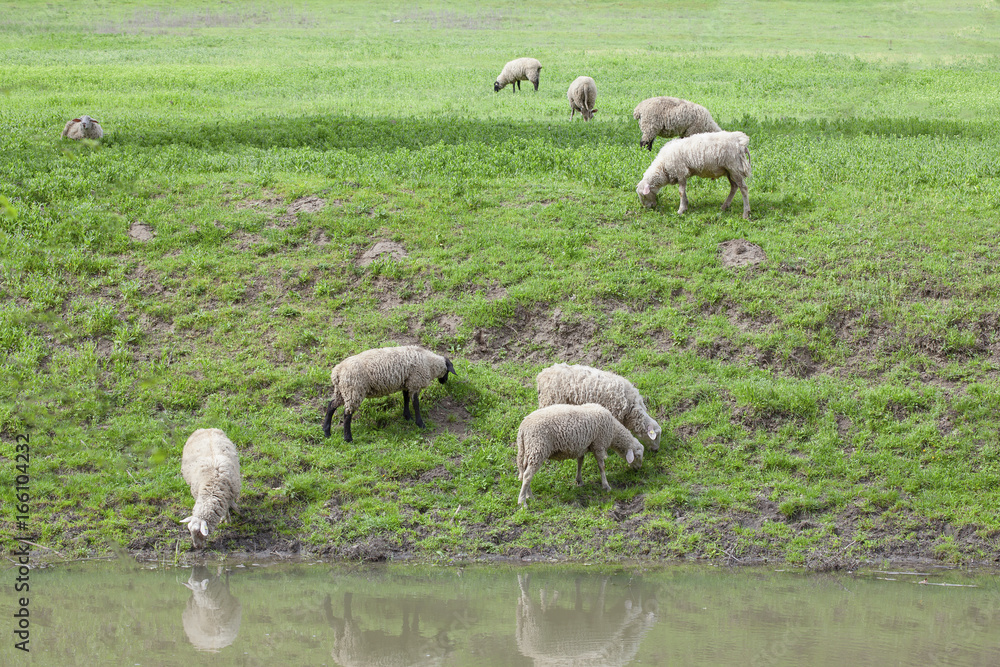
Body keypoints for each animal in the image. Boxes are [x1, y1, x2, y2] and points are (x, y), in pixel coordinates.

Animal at [322, 345, 458, 443]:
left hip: (342, 391)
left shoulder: (406, 383)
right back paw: (348, 438)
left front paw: (407, 416)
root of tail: (337, 372)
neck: (429, 363)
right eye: (448, 371)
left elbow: (406, 399)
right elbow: (416, 404)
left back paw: (327, 432)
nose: (444, 381)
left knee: (331, 406)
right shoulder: (415, 383)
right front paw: (420, 423)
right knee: (347, 414)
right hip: (353, 390)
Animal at [515, 403, 644, 506]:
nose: (638, 469)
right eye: (638, 456)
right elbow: (602, 467)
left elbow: (580, 462)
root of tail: (522, 428)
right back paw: (522, 502)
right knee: (527, 475)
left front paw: (579, 481)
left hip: (529, 451)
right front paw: (606, 486)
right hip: (538, 449)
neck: (613, 430)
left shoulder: (582, 447)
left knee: (525, 473)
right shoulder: (599, 444)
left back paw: (528, 495)